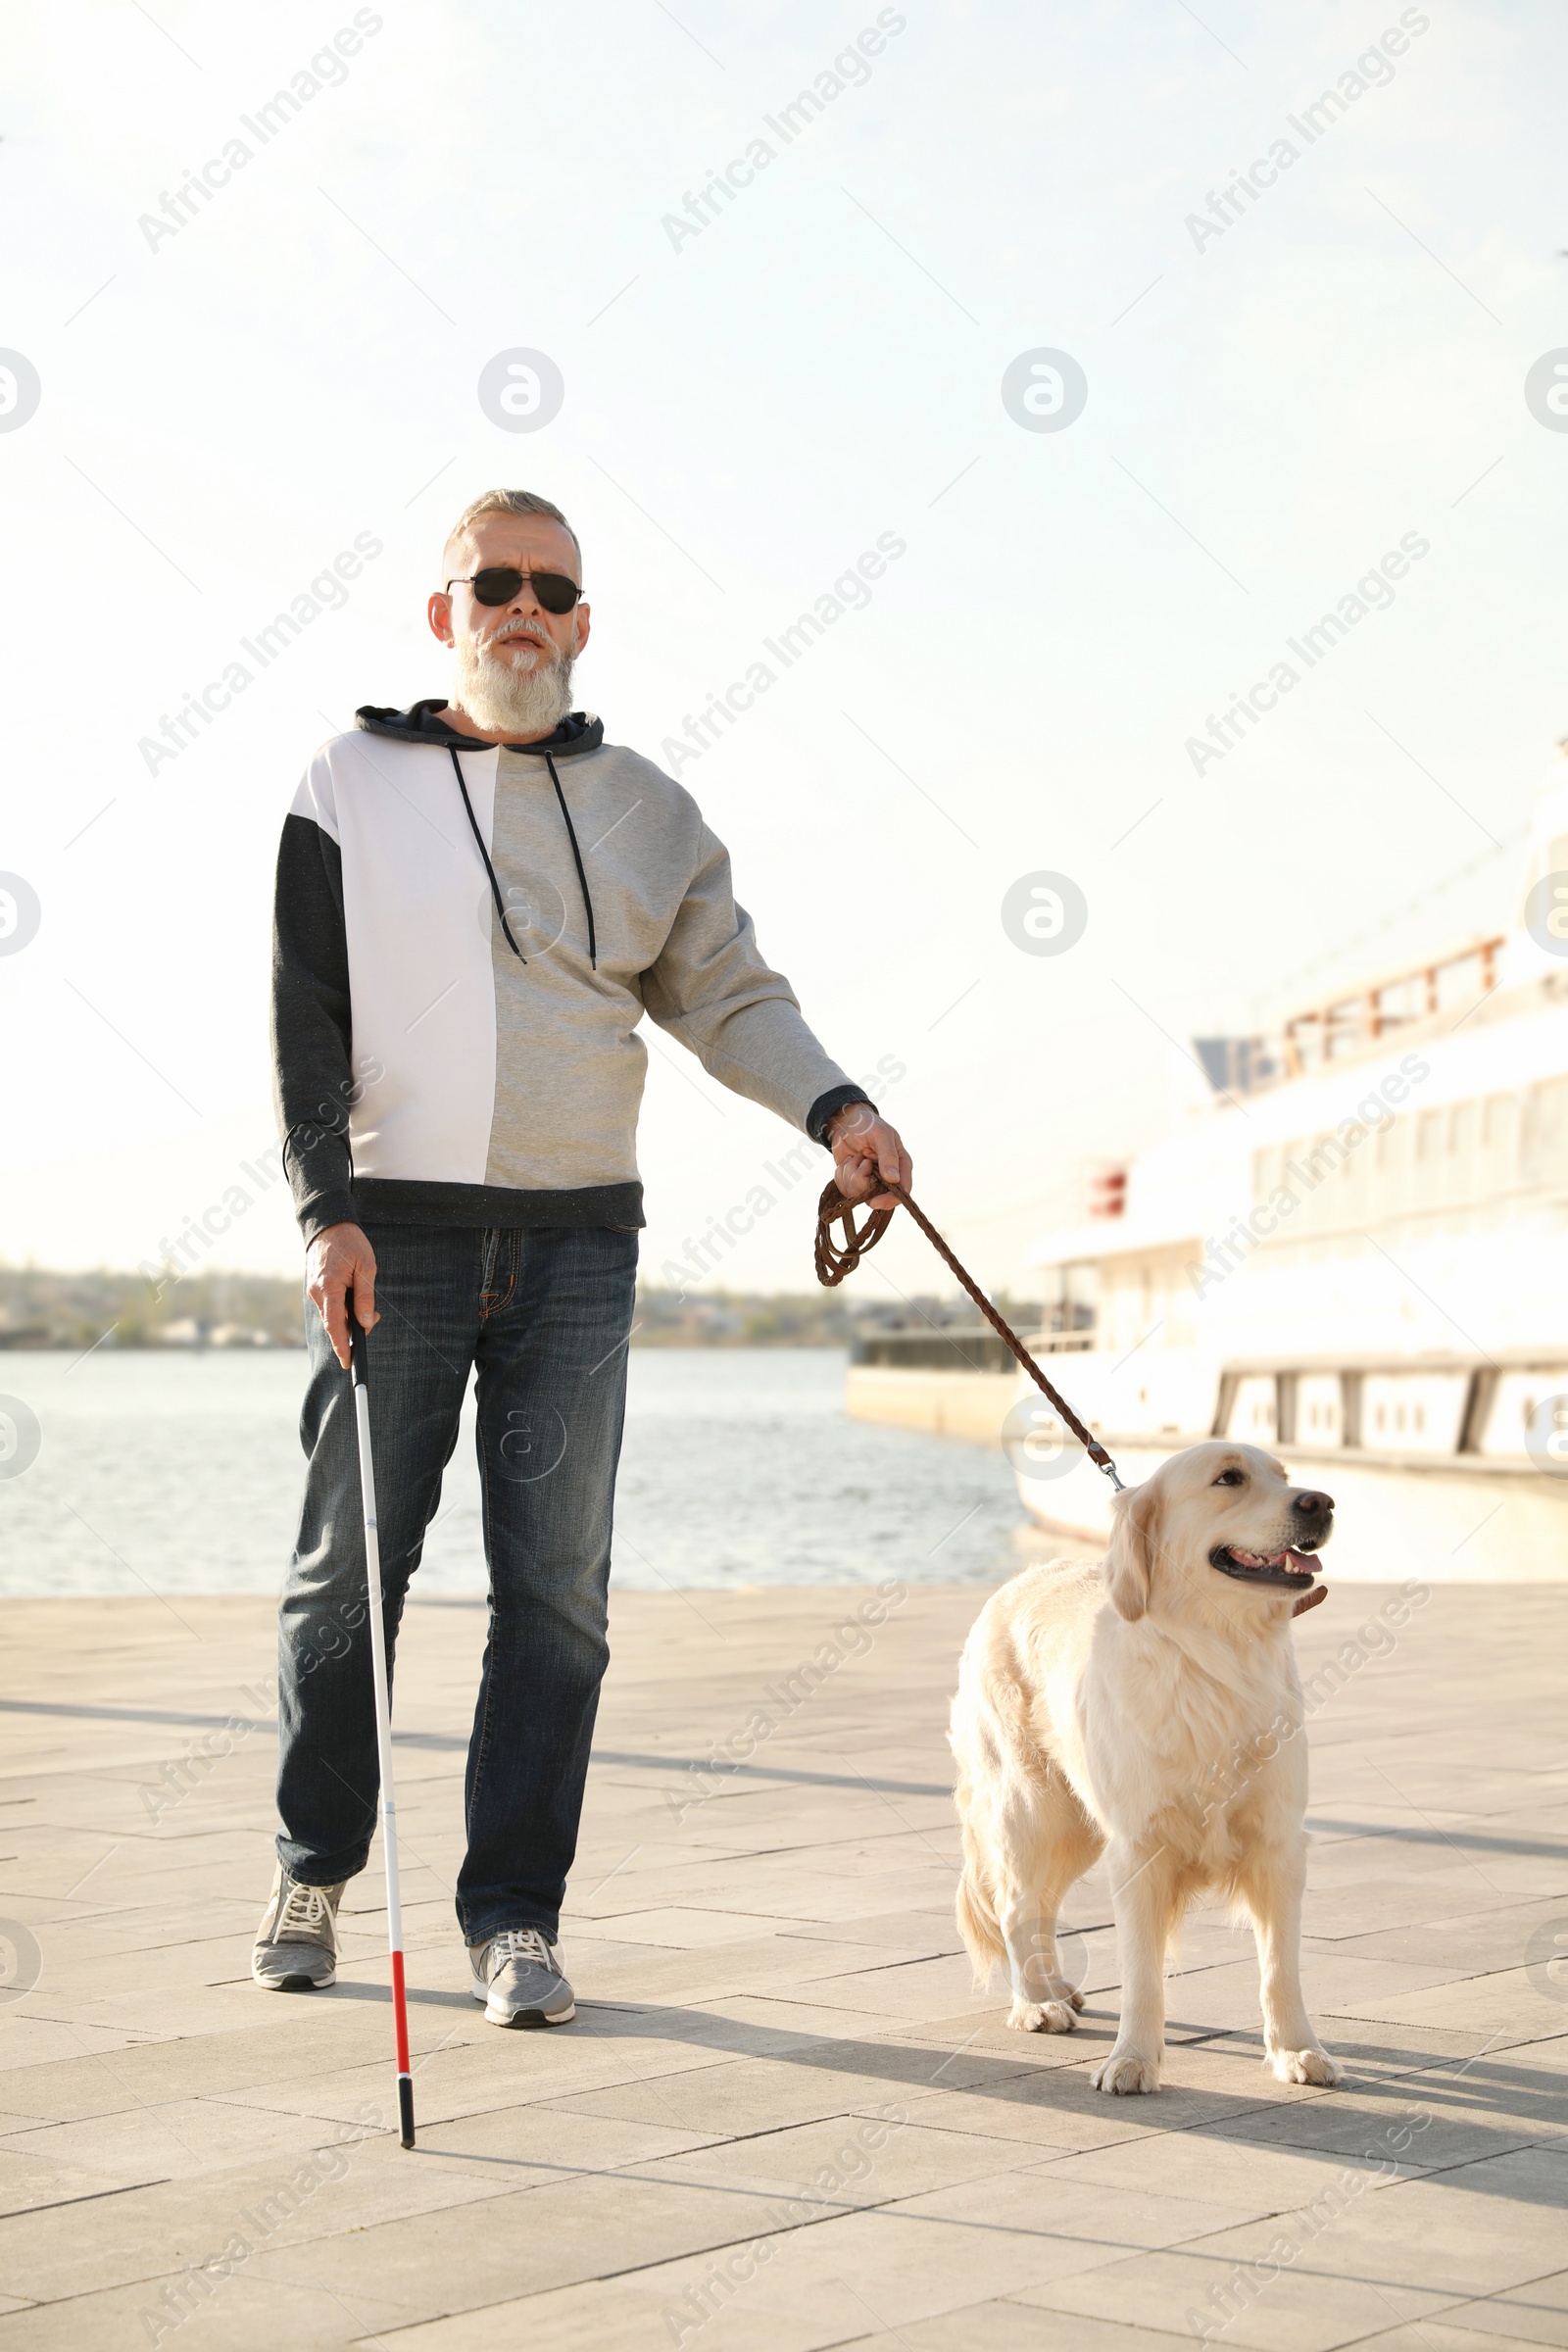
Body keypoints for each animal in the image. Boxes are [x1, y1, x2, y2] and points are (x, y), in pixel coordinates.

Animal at [950, 1448, 1345, 2097]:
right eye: (1228, 1478)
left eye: (1285, 1476)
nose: (1322, 1501)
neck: (1217, 1660)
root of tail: (1014, 1585)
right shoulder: (1138, 1849)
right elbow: (1141, 1975)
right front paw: (1132, 2061)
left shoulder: (1279, 1844)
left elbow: (1279, 1969)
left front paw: (1297, 2050)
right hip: (1030, 1808)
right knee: (1015, 1905)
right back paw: (1035, 2003)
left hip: (1079, 1828)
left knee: (1044, 1906)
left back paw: (1056, 1986)